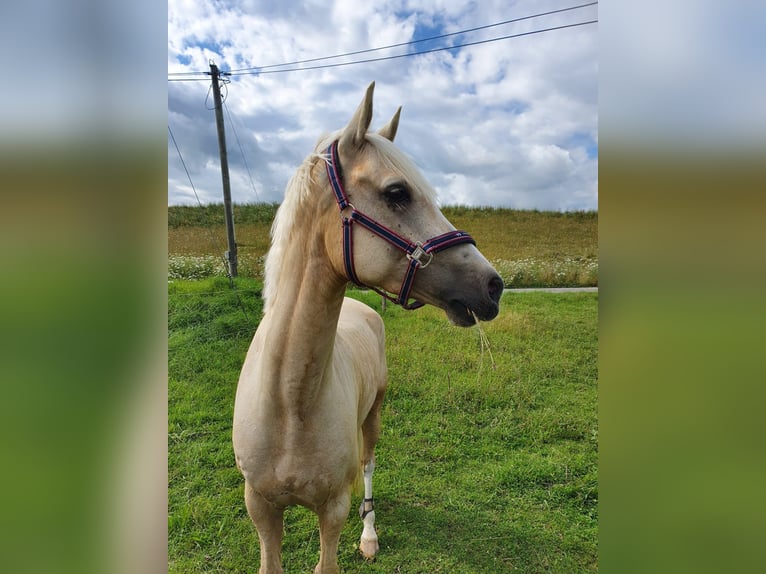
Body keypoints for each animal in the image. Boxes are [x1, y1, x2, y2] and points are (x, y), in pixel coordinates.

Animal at [232, 82, 510, 574]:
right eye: (397, 192)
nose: (492, 286)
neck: (289, 402)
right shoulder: (260, 507)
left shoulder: (332, 510)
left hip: (374, 416)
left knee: (369, 467)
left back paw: (370, 534)